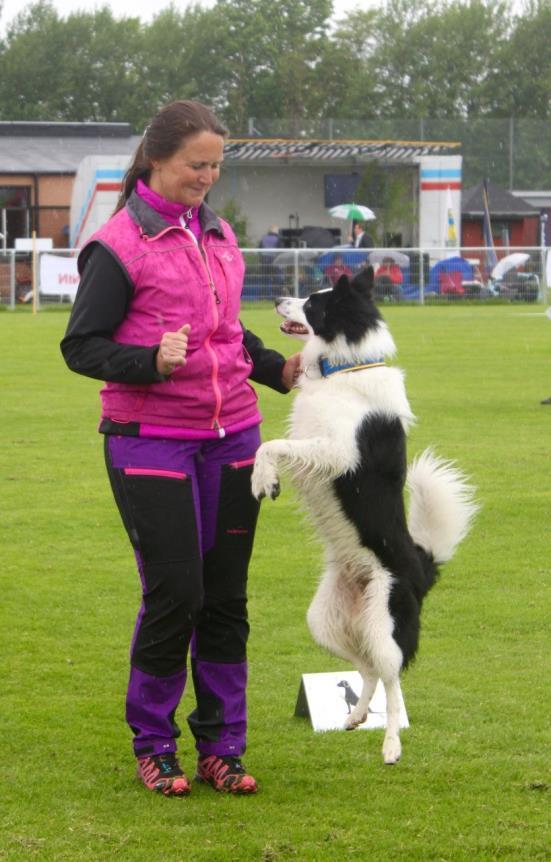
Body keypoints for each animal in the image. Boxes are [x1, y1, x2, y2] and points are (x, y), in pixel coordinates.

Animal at [252, 266, 476, 768]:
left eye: (312, 304)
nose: (276, 297)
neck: (344, 366)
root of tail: (422, 568)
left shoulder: (336, 451)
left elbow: (270, 445)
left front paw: (263, 479)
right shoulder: (311, 439)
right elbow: (271, 443)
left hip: (384, 623)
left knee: (391, 680)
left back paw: (391, 744)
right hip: (325, 621)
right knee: (365, 668)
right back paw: (354, 716)